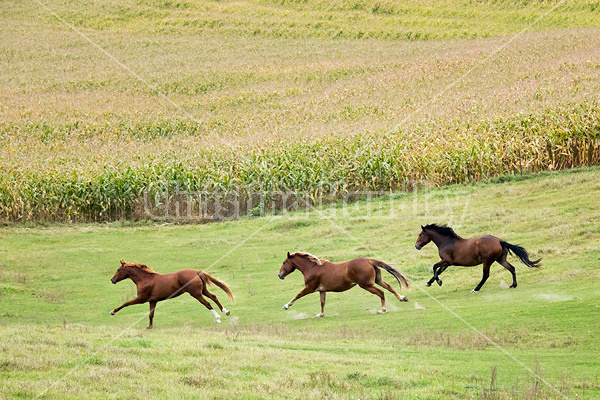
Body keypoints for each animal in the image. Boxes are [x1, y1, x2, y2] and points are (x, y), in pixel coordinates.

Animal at [278, 252, 410, 318]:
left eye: (284, 262)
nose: (280, 275)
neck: (313, 267)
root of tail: (368, 260)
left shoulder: (309, 288)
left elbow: (297, 295)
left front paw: (286, 306)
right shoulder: (322, 290)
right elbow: (322, 302)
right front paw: (321, 314)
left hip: (366, 285)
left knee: (381, 292)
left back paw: (382, 310)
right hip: (377, 281)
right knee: (390, 288)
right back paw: (402, 298)